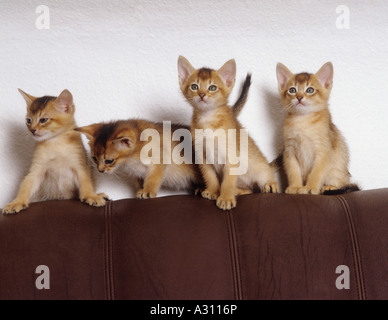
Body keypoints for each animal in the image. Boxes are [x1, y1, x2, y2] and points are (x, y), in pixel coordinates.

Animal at [177, 55, 280, 210]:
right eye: (194, 86)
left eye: (212, 87)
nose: (202, 95)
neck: (208, 120)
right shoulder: (202, 157)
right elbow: (210, 177)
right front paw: (213, 191)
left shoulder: (231, 156)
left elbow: (228, 182)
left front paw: (225, 198)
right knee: (249, 190)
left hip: (259, 169)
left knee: (265, 178)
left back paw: (270, 184)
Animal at [274, 61, 360, 194]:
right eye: (292, 90)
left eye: (310, 90)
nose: (299, 97)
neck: (302, 121)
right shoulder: (289, 151)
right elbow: (293, 172)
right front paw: (295, 187)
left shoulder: (323, 151)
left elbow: (316, 173)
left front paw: (310, 187)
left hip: (336, 172)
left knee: (343, 183)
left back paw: (330, 186)